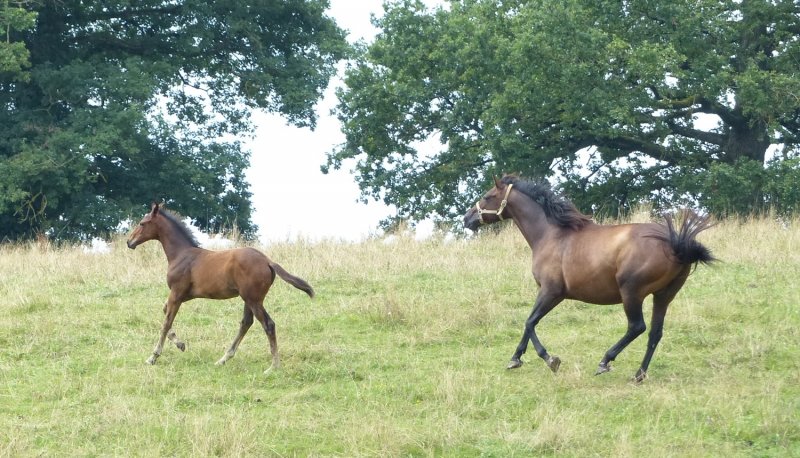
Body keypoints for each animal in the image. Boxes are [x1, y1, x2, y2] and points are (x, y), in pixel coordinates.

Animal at [126, 203, 314, 370]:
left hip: (253, 299)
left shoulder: (176, 292)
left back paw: (273, 366)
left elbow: (166, 322)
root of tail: (268, 261)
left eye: (142, 223)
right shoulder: (184, 295)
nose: (129, 242)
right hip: (249, 299)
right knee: (246, 322)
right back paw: (223, 359)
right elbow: (165, 311)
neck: (181, 254)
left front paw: (153, 357)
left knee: (268, 324)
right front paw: (180, 344)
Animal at [463, 175, 715, 382]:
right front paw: (517, 358)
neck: (552, 234)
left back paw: (605, 361)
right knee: (655, 333)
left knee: (637, 327)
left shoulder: (551, 291)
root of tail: (676, 244)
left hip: (631, 293)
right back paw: (638, 375)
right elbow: (530, 322)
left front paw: (548, 359)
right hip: (664, 295)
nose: (467, 219)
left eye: (488, 196)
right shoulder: (552, 294)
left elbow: (530, 321)